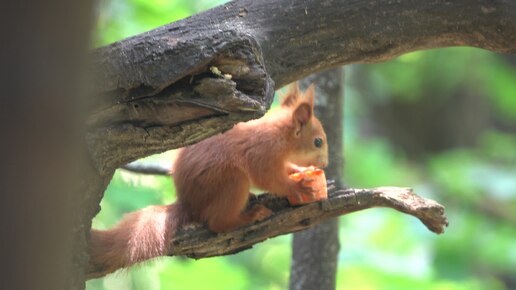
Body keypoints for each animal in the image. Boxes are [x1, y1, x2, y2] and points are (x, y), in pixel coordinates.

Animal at [89, 82, 328, 278]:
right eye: (317, 142)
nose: (325, 164)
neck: (280, 134)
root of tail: (188, 204)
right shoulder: (263, 153)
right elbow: (268, 178)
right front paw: (296, 185)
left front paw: (299, 169)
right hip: (231, 180)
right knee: (218, 223)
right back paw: (249, 216)